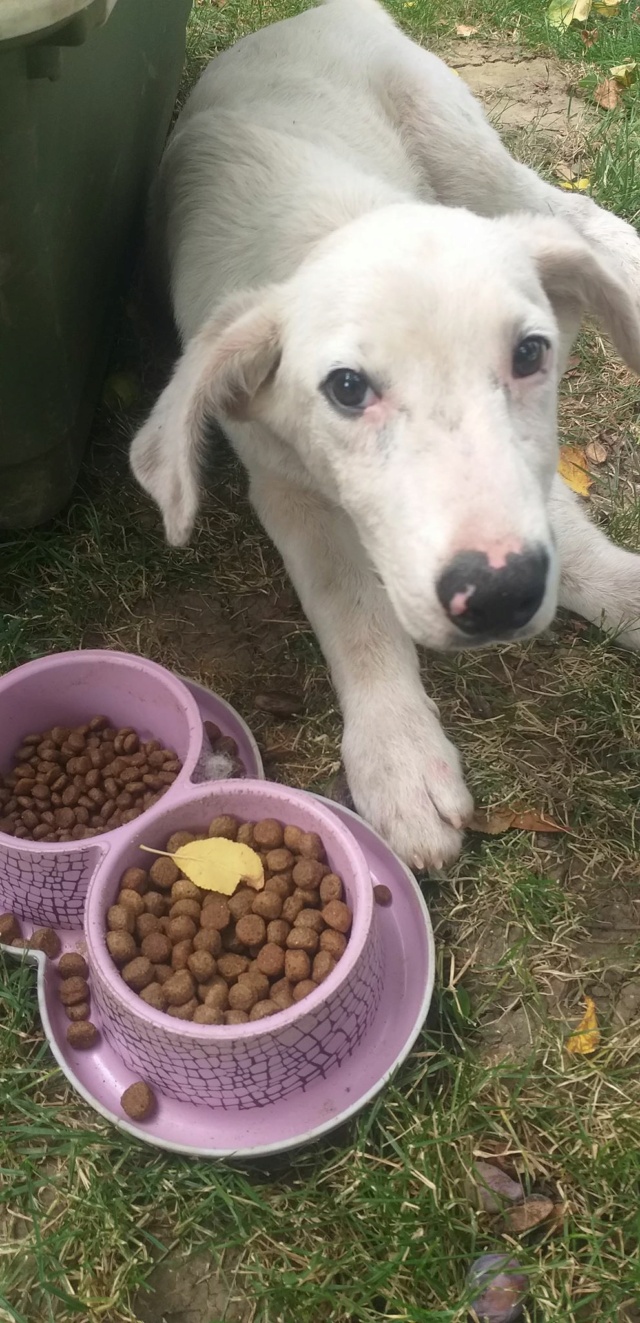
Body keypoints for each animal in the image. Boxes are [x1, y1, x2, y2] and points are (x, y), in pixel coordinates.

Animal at [130, 0, 640, 867]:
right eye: (346, 388)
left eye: (530, 354)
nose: (499, 596)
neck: (325, 227)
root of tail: (318, 11)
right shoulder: (286, 486)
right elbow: (353, 608)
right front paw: (399, 755)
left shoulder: (527, 470)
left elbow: (578, 549)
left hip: (454, 135)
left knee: (561, 208)